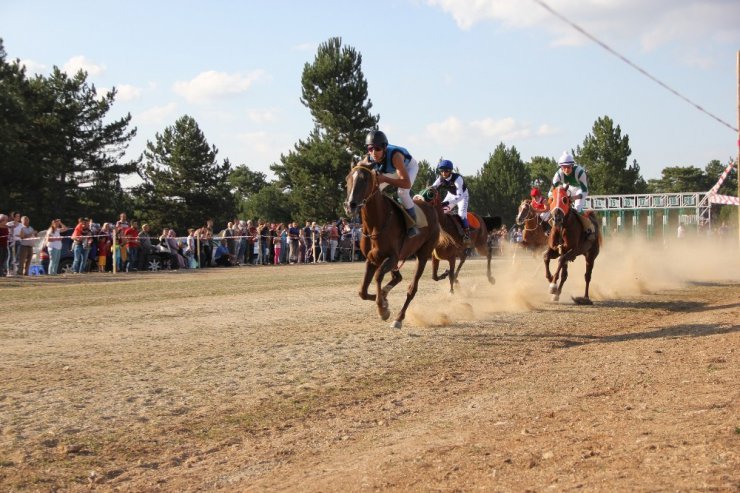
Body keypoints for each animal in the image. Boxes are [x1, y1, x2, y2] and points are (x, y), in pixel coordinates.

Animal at [346, 163, 442, 328]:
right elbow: (362, 292)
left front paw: (383, 309)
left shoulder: (391, 257)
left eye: (364, 179)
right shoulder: (371, 258)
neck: (376, 223)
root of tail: (431, 208)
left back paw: (398, 318)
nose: (350, 205)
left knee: (412, 288)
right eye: (347, 179)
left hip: (423, 254)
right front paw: (384, 302)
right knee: (398, 277)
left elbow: (378, 276)